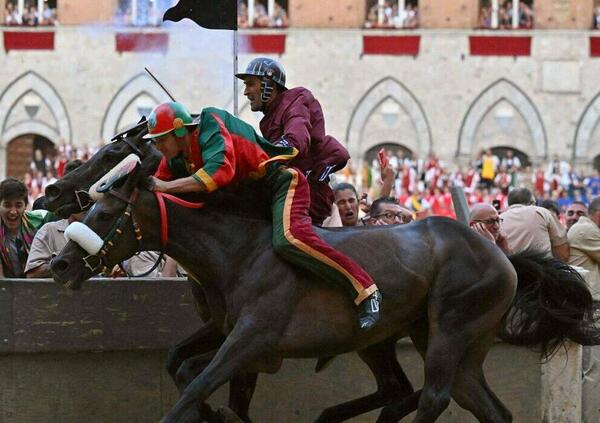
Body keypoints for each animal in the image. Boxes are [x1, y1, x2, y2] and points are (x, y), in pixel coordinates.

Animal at [51, 166, 600, 423]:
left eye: (105, 213)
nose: (59, 265)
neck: (238, 251)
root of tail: (502, 257)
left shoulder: (254, 337)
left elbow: (195, 385)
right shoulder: (234, 333)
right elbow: (183, 367)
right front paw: (223, 414)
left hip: (452, 325)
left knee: (434, 397)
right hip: (445, 339)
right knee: (480, 404)